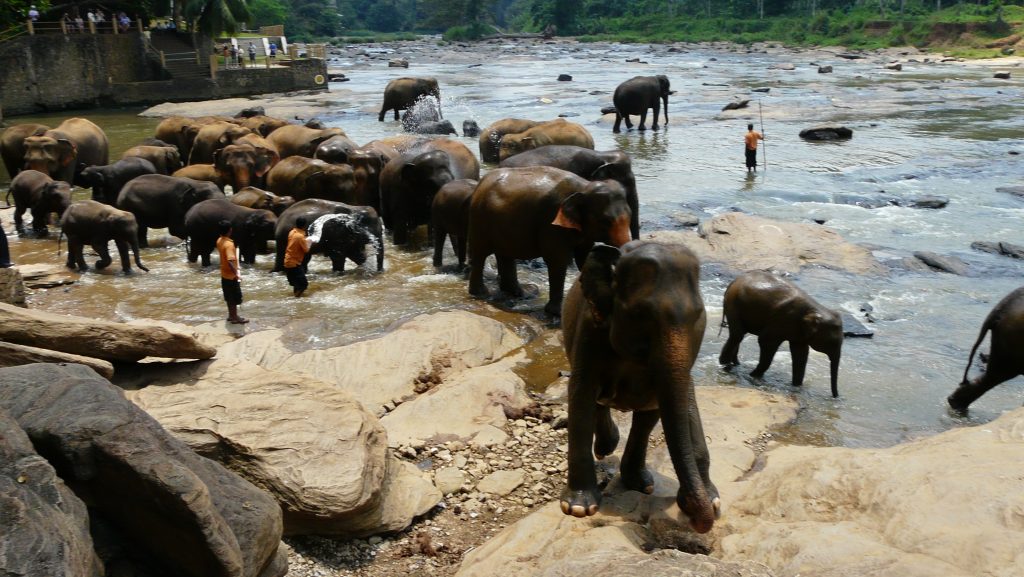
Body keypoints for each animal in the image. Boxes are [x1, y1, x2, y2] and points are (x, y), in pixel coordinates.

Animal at [468, 167, 630, 315]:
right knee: (480, 254)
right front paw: (557, 313)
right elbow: (557, 260)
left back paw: (523, 293)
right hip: (479, 220)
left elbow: (583, 256)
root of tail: (481, 183)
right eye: (606, 221)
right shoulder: (550, 221)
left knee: (505, 254)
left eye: (630, 215)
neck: (584, 186)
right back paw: (481, 293)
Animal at [561, 241, 720, 537]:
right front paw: (578, 508)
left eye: (698, 316)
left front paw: (711, 500)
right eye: (641, 315)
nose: (693, 519)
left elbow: (667, 401)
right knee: (597, 402)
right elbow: (580, 393)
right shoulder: (590, 329)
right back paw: (605, 447)